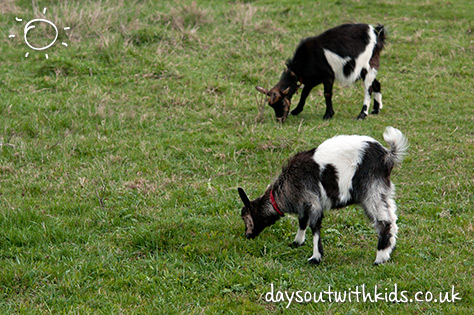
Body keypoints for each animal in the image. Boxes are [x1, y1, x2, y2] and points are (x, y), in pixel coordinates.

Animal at [237, 127, 408, 266]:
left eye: (246, 218)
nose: (247, 235)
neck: (288, 186)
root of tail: (387, 155)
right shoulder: (304, 203)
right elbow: (302, 221)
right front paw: (297, 242)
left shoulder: (313, 201)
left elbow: (314, 227)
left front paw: (315, 257)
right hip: (383, 192)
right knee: (392, 218)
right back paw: (389, 251)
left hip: (371, 190)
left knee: (383, 221)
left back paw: (380, 258)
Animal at [258, 22, 386, 122]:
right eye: (271, 105)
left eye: (282, 103)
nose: (280, 120)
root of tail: (376, 33)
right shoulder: (312, 80)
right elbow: (304, 94)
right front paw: (296, 111)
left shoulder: (328, 76)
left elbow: (327, 94)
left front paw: (328, 115)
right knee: (376, 84)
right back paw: (376, 109)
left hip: (367, 65)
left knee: (368, 89)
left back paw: (362, 114)